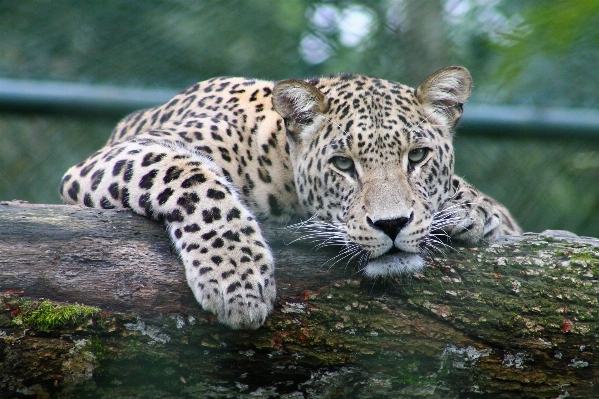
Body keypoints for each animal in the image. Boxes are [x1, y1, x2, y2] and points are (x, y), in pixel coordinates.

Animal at [59, 67, 520, 332]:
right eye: (343, 164)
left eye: (418, 156)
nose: (391, 225)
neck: (279, 162)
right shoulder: (116, 157)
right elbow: (193, 177)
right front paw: (238, 281)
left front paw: (472, 209)